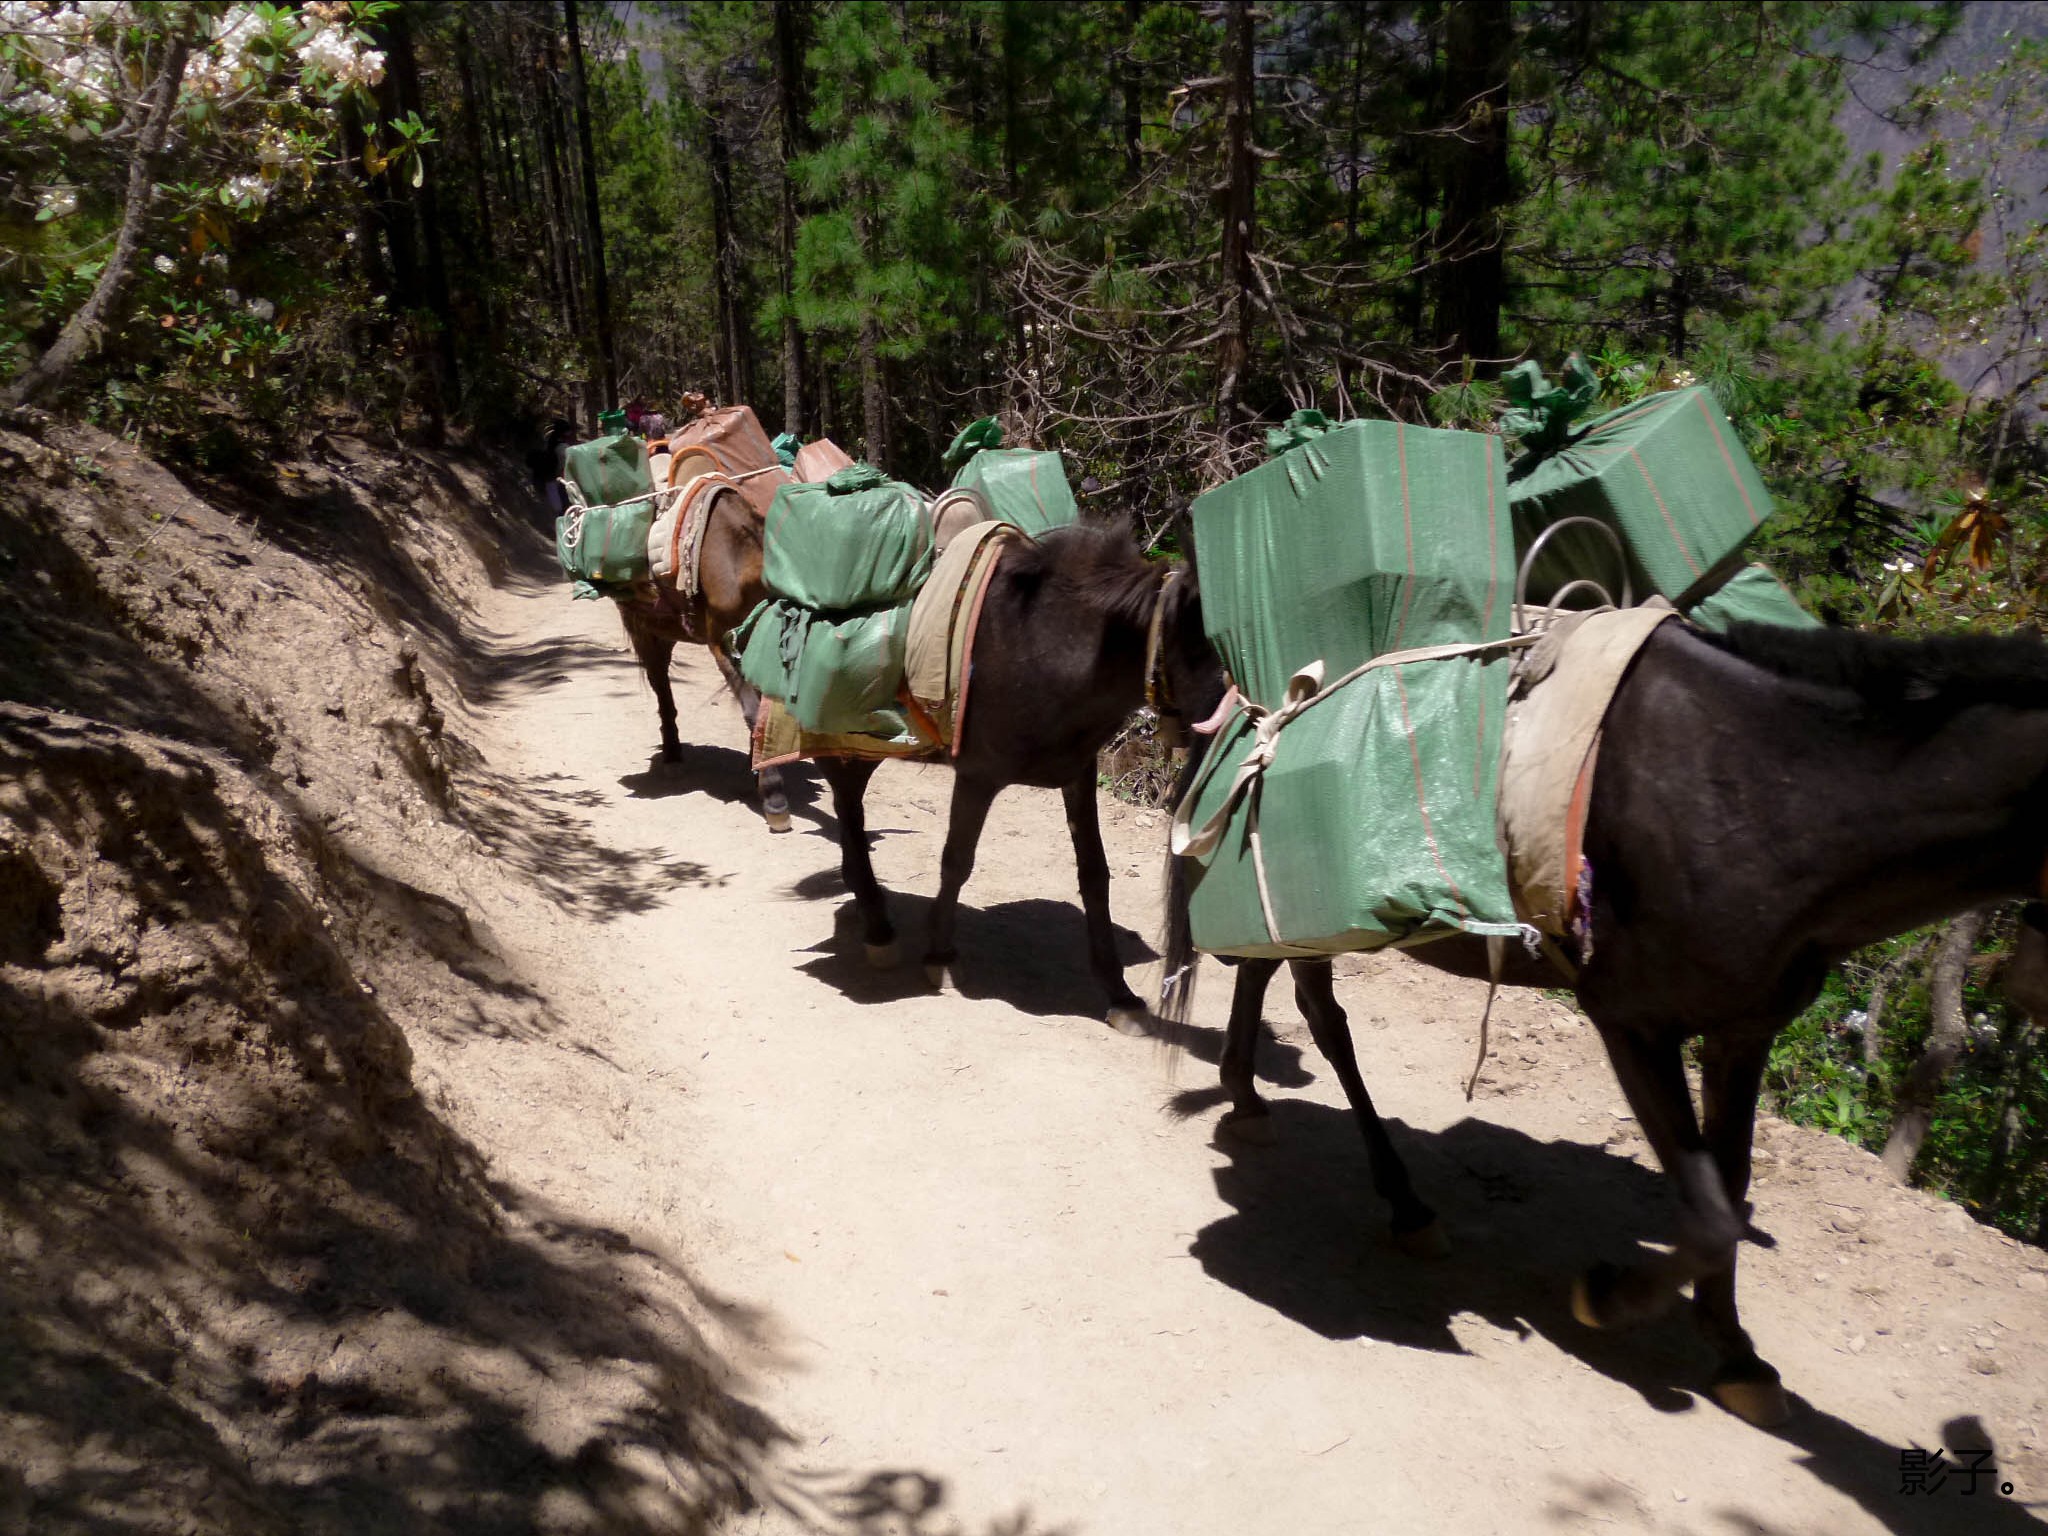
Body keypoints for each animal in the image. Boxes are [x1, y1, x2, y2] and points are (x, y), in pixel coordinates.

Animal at [819, 520, 1228, 1036]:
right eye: (1199, 642)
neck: (1047, 646)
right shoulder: (977, 777)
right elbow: (957, 860)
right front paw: (940, 955)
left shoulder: (1078, 774)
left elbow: (1095, 875)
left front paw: (1120, 994)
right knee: (846, 803)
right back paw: (876, 926)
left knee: (849, 804)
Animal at [1163, 618, 2048, 1433]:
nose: (2024, 987)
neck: (1772, 791)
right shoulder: (1633, 1021)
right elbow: (1707, 1211)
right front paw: (1612, 1297)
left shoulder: (1743, 1031)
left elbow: (1730, 1186)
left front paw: (1735, 1352)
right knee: (1321, 1015)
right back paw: (1401, 1201)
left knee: (1263, 971)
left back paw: (1247, 1099)